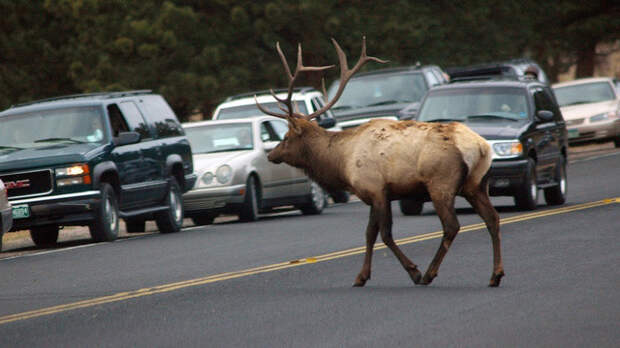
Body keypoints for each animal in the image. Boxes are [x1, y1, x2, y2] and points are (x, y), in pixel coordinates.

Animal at [256, 36, 504, 286]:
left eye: (286, 138)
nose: (271, 154)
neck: (342, 163)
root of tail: (480, 146)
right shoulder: (376, 193)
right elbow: (369, 234)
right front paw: (361, 276)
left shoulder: (376, 189)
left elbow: (384, 235)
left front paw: (412, 271)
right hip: (476, 184)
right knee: (492, 218)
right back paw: (495, 274)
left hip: (441, 183)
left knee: (452, 226)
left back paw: (429, 274)